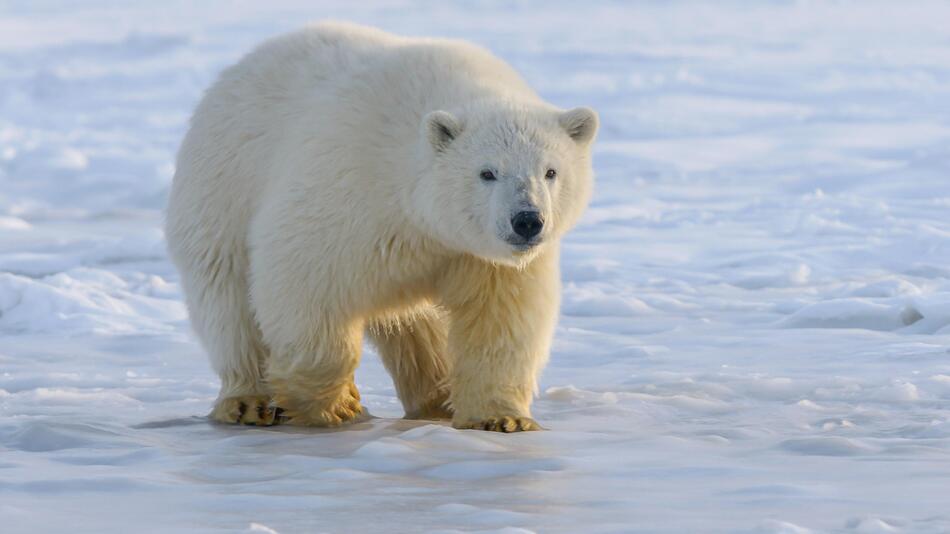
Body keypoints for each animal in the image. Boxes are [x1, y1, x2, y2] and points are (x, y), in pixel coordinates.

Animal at [164, 22, 596, 436]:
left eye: (551, 171)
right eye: (487, 172)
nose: (527, 220)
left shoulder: (479, 256)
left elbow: (499, 320)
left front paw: (502, 418)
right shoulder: (348, 187)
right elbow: (303, 278)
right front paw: (335, 404)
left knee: (417, 328)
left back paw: (436, 397)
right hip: (222, 190)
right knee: (229, 301)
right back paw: (248, 401)